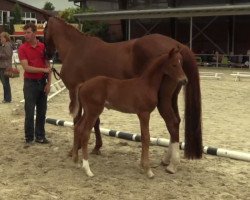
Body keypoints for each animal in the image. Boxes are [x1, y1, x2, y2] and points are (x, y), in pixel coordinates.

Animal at [70, 48, 188, 178]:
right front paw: (148, 170)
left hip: (87, 111)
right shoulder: (144, 113)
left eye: (181, 64)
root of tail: (83, 84)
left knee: (78, 127)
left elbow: (143, 137)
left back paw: (76, 161)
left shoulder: (141, 114)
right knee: (85, 133)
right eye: (174, 65)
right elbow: (146, 138)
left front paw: (142, 167)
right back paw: (87, 169)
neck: (147, 84)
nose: (184, 80)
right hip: (93, 112)